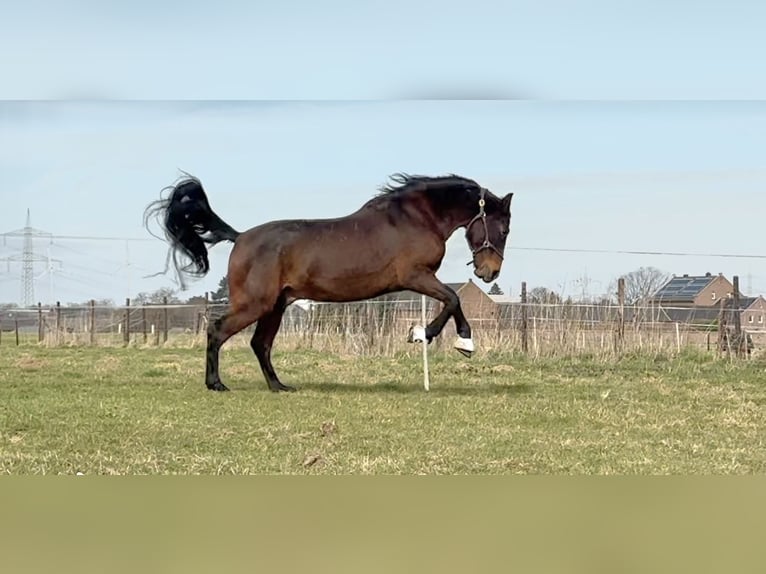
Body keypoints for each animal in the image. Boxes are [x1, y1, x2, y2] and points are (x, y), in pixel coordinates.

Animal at [144, 173, 516, 394]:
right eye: (503, 228)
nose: (490, 273)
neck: (415, 218)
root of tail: (240, 237)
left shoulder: (420, 279)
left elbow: (452, 300)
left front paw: (443, 338)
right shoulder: (415, 275)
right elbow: (453, 299)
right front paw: (441, 338)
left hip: (276, 306)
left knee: (260, 344)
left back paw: (279, 386)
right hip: (256, 304)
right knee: (218, 330)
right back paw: (216, 384)